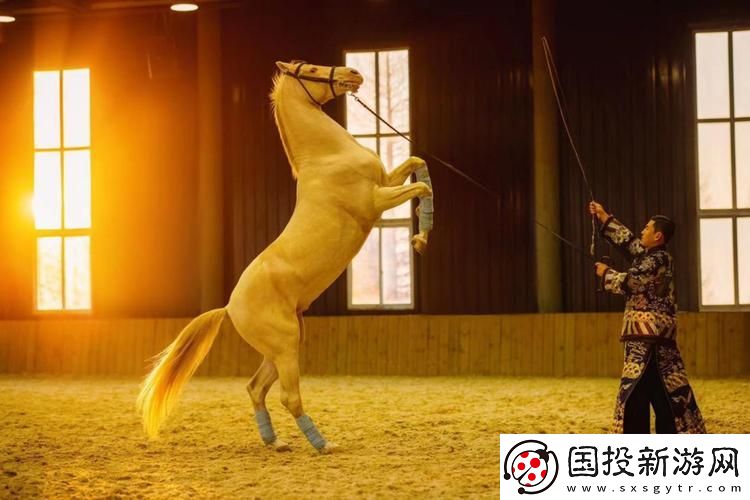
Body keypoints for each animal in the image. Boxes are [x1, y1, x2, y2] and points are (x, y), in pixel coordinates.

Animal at [137, 60, 433, 453]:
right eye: (312, 69)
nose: (353, 73)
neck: (328, 157)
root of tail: (229, 307)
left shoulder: (385, 180)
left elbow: (417, 163)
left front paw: (420, 235)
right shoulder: (375, 200)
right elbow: (421, 187)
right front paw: (421, 238)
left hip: (279, 350)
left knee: (255, 388)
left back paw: (275, 442)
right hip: (285, 347)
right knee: (287, 397)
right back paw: (323, 445)